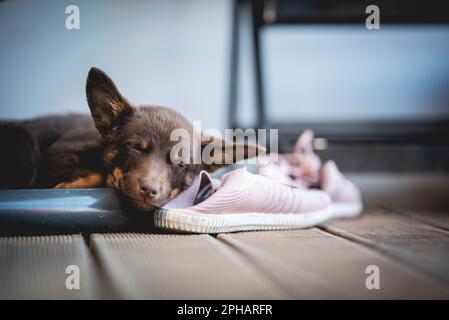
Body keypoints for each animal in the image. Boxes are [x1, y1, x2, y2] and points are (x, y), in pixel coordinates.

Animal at [0, 68, 262, 210]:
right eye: (135, 147)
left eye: (180, 164)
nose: (149, 190)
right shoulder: (60, 152)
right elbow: (99, 174)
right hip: (23, 139)